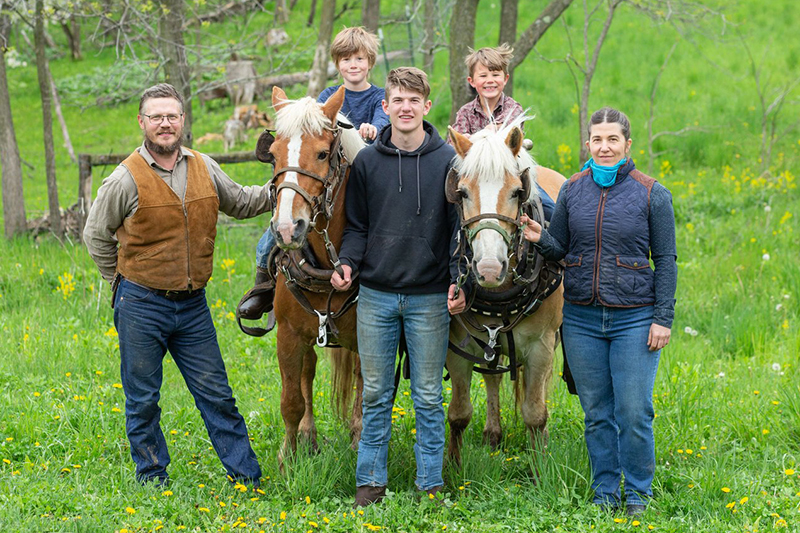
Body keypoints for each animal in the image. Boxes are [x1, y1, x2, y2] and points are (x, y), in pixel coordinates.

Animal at [250, 86, 366, 462]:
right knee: (309, 370)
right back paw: (309, 435)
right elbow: (291, 400)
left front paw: (360, 441)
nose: (288, 229)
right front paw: (288, 456)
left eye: (322, 153)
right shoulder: (288, 335)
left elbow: (365, 394)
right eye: (273, 156)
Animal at [444, 122, 564, 464]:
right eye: (462, 192)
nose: (487, 269)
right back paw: (492, 434)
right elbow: (459, 413)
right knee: (493, 376)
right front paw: (452, 466)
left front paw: (540, 469)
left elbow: (535, 413)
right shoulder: (457, 345)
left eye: (515, 192)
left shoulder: (541, 347)